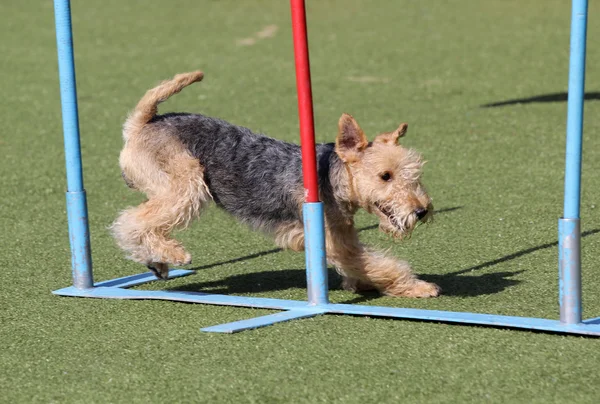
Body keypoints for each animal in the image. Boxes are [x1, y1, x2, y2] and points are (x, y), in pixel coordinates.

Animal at [111, 70, 440, 296]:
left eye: (415, 175)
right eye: (385, 176)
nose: (421, 211)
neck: (332, 179)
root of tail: (143, 123)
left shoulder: (343, 236)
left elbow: (367, 265)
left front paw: (360, 284)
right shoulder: (335, 242)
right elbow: (381, 265)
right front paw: (419, 287)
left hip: (166, 188)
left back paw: (158, 262)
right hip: (186, 186)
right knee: (131, 221)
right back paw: (174, 254)